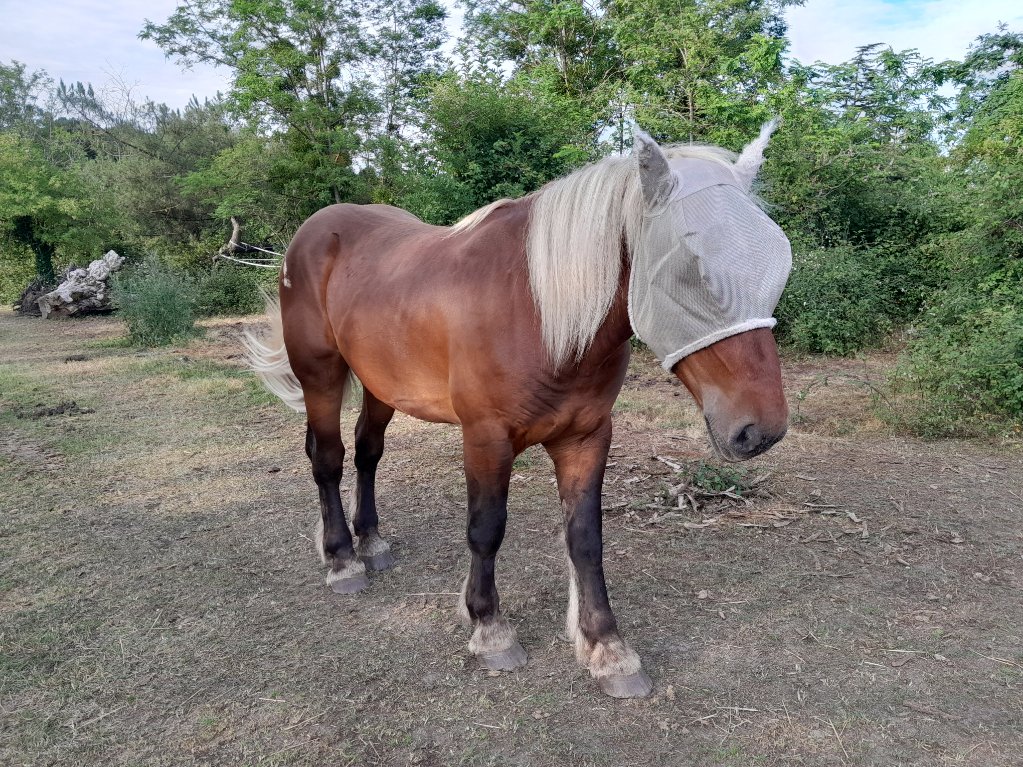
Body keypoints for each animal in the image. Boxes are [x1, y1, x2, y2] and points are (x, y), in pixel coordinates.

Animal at [245, 123, 789, 699]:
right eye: (693, 268)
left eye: (780, 262)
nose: (762, 430)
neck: (535, 312)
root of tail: (311, 232)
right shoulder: (486, 438)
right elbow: (486, 529)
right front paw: (489, 629)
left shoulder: (586, 437)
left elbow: (585, 538)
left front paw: (608, 649)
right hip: (321, 377)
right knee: (327, 458)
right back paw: (343, 559)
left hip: (382, 386)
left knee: (368, 452)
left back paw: (370, 542)